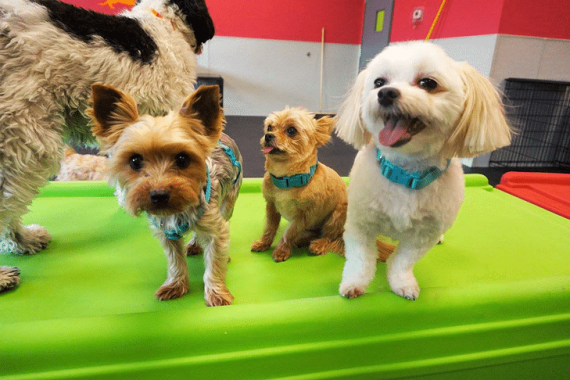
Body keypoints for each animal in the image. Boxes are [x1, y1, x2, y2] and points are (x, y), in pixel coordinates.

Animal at [87, 84, 241, 306]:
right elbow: (175, 260)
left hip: (229, 198)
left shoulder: (214, 226)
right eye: (135, 161)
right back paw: (194, 244)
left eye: (183, 159)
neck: (178, 211)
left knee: (225, 217)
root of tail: (224, 137)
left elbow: (214, 259)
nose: (159, 195)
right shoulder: (166, 233)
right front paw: (176, 285)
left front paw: (216, 292)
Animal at [251, 106, 392, 262]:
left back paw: (318, 245)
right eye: (269, 127)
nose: (268, 136)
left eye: (291, 130)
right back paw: (302, 241)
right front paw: (263, 243)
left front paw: (282, 250)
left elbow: (290, 233)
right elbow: (269, 228)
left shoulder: (304, 217)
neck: (287, 180)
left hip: (336, 217)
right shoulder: (271, 207)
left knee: (330, 237)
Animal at [336, 40, 508, 300]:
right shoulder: (360, 222)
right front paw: (354, 284)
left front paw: (402, 283)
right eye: (379, 82)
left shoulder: (425, 234)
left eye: (428, 83)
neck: (406, 174)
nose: (385, 93)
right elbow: (361, 258)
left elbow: (403, 260)